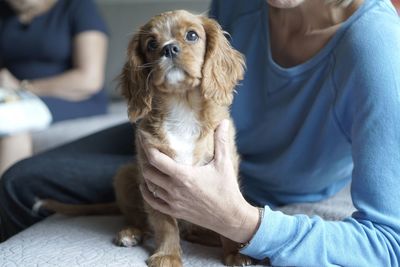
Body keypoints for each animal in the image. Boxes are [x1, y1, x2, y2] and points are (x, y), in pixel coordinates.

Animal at [42, 10, 252, 267]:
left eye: (192, 35)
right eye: (151, 44)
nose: (169, 48)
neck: (182, 107)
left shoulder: (225, 169)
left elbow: (225, 218)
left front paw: (234, 253)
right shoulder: (154, 179)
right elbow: (165, 224)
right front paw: (168, 255)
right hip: (124, 175)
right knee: (141, 221)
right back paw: (130, 233)